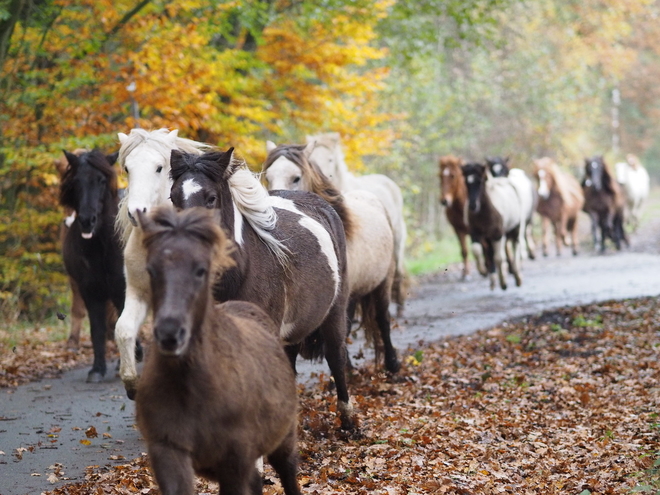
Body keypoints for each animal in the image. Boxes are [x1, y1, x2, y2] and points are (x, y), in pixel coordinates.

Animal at [59, 151, 127, 384]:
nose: (87, 221)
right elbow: (97, 329)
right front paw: (97, 369)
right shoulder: (90, 291)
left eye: (101, 180)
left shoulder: (121, 289)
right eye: (75, 182)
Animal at [137, 206, 302, 495]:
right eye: (151, 269)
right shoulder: (167, 448)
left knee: (288, 472)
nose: (170, 334)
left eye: (201, 269)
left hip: (283, 438)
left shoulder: (235, 457)